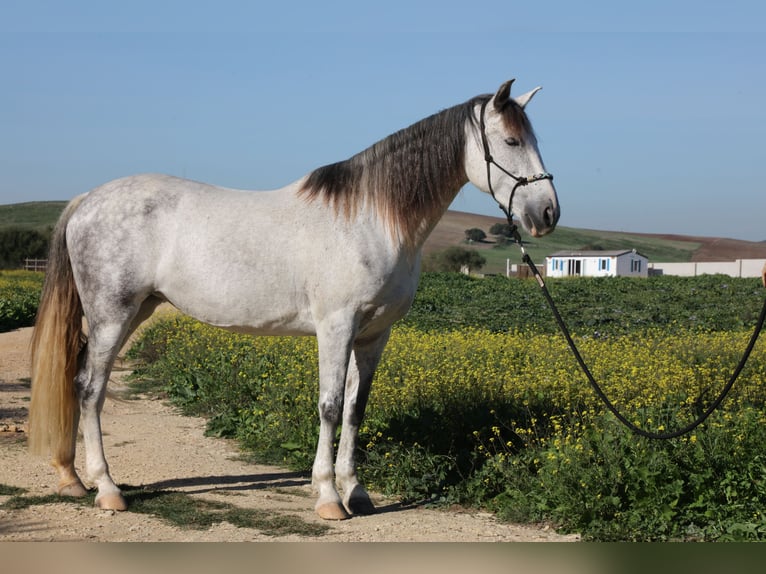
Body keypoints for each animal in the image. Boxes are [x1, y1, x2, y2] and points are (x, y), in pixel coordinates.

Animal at [30, 79, 560, 524]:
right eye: (511, 142)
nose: (548, 213)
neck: (372, 217)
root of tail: (87, 199)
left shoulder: (374, 334)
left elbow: (355, 408)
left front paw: (356, 492)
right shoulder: (336, 326)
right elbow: (329, 405)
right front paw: (328, 498)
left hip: (135, 310)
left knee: (79, 381)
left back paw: (72, 478)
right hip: (112, 314)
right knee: (90, 388)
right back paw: (107, 489)